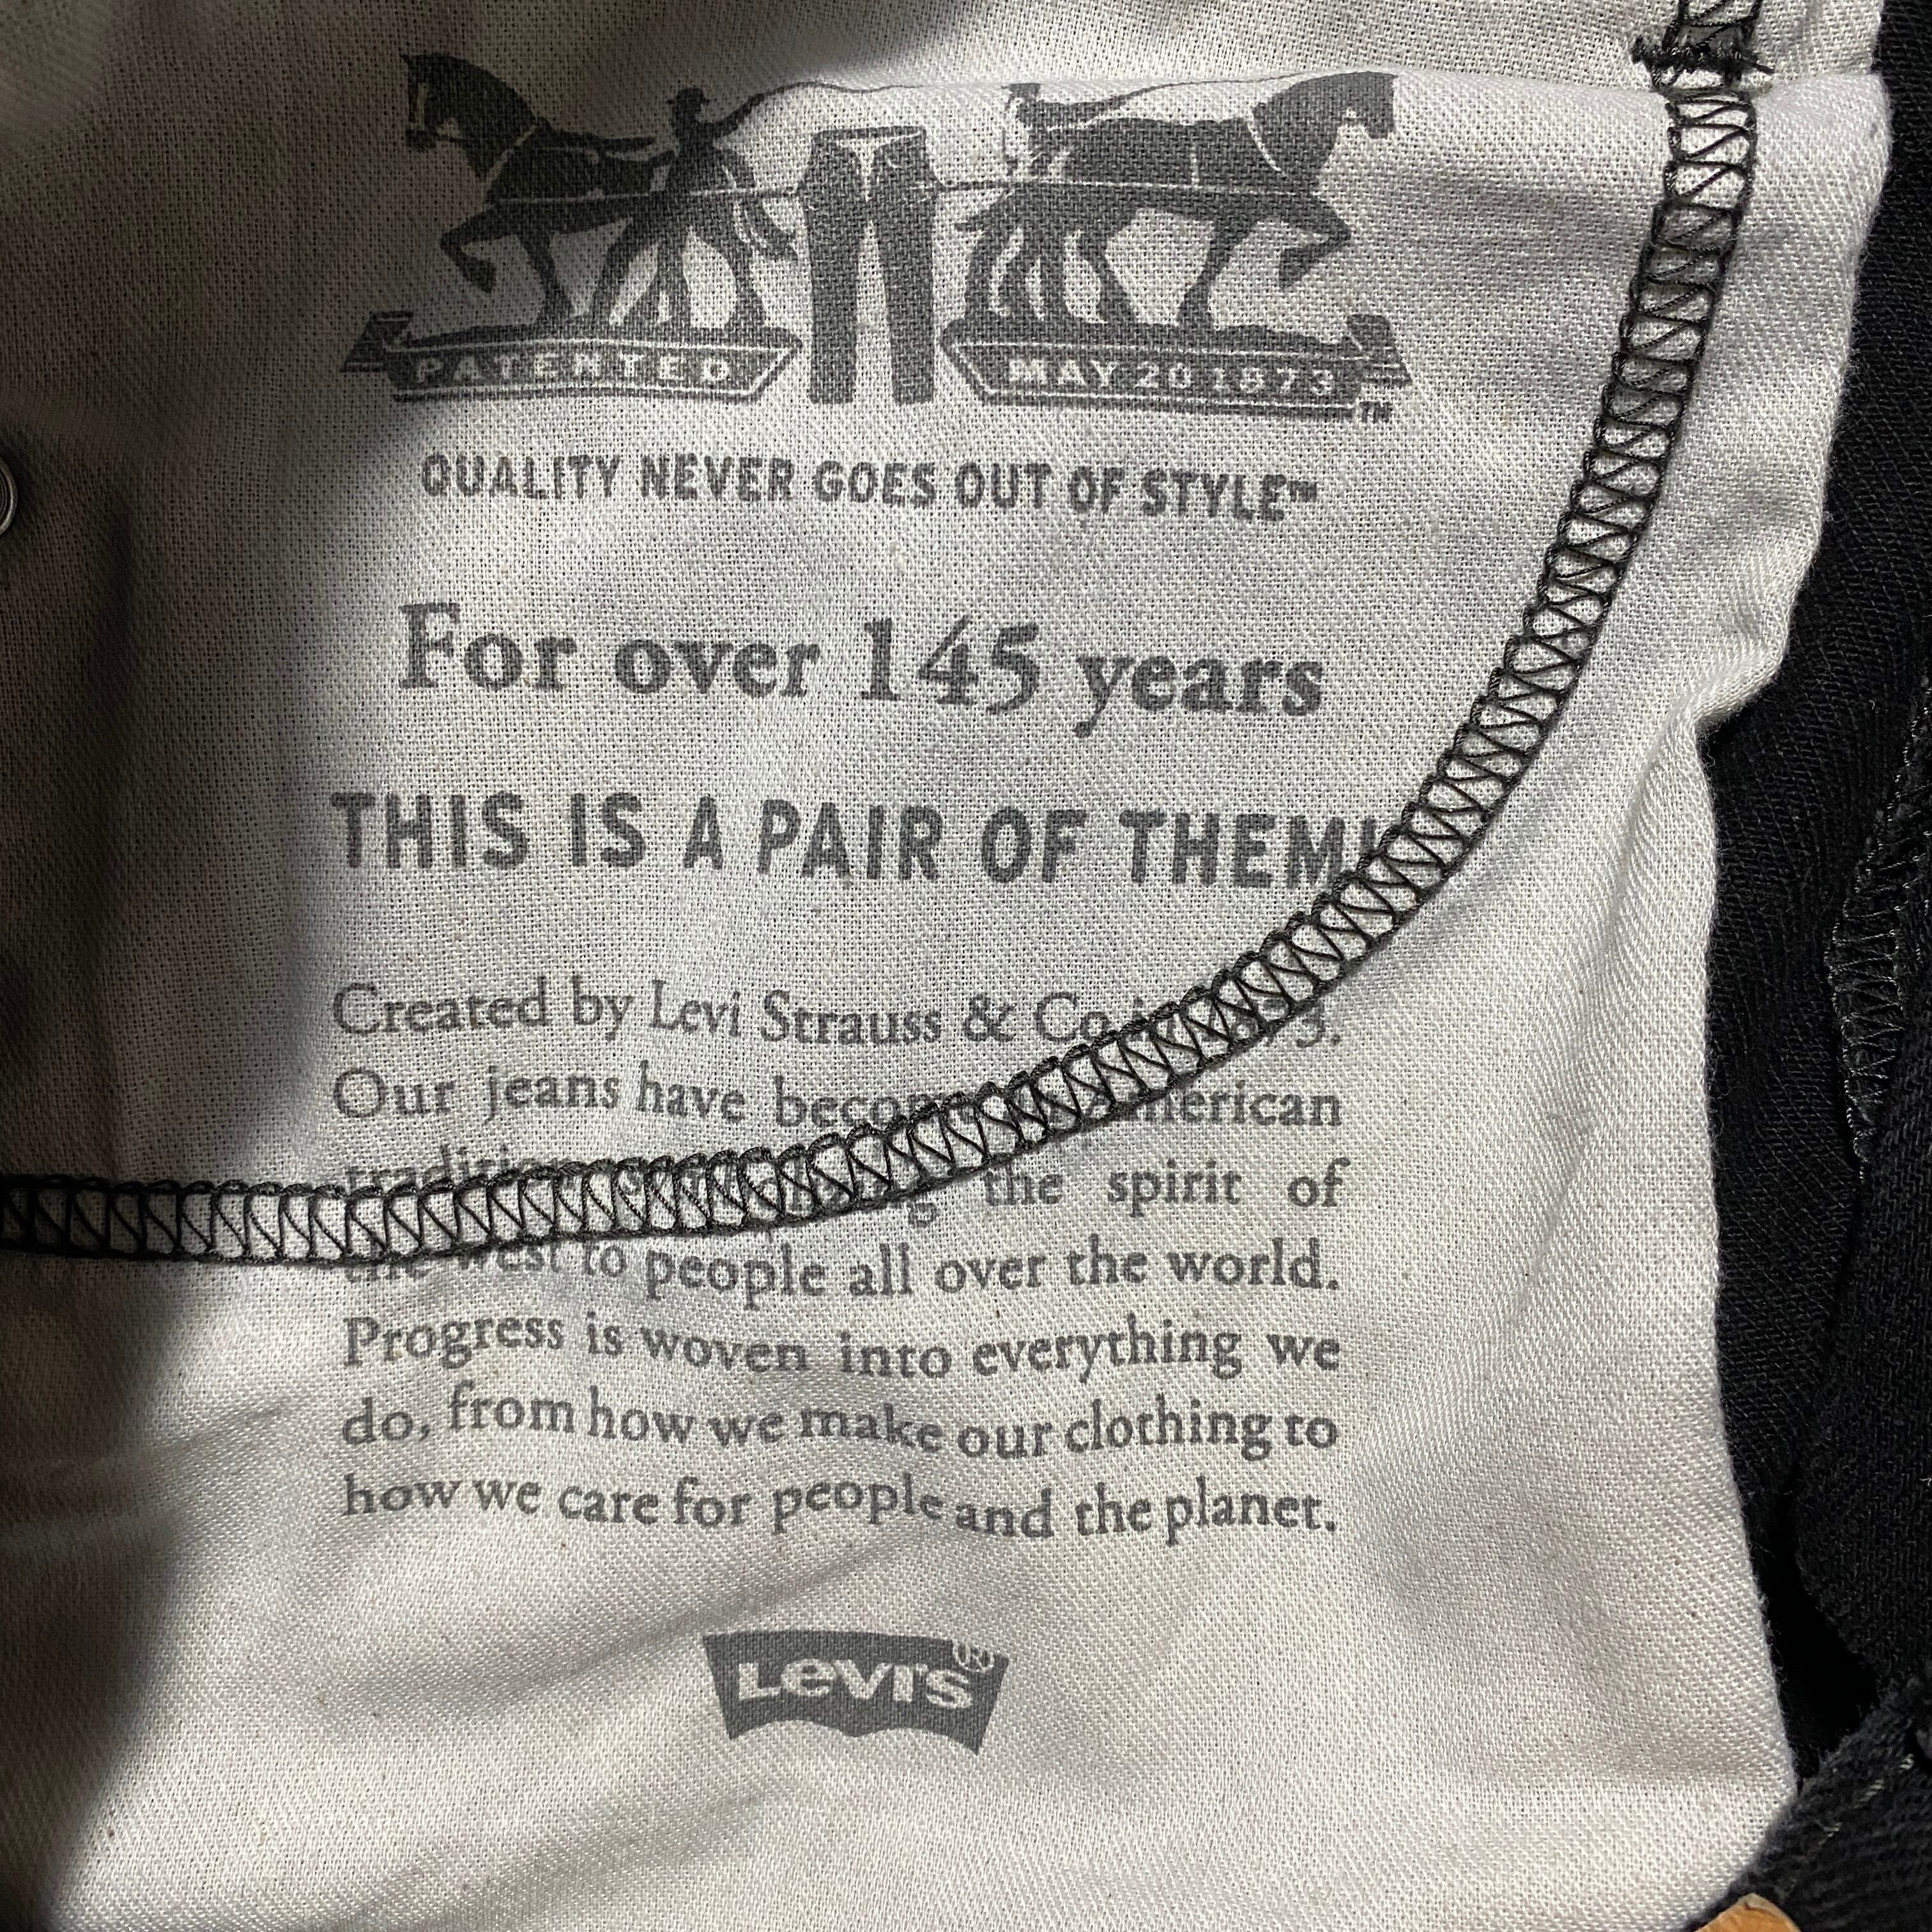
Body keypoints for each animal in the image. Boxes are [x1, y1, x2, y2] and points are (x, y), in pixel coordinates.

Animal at [961, 71, 1396, 338]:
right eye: (1381, 96)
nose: (1385, 128)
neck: (1274, 143)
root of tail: (1073, 136)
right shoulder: (1254, 213)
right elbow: (1333, 231)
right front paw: (1290, 268)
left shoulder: (1249, 216)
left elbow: (1221, 257)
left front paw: (1197, 312)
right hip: (1101, 205)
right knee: (1063, 241)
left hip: (1109, 208)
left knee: (1060, 242)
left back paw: (1034, 305)